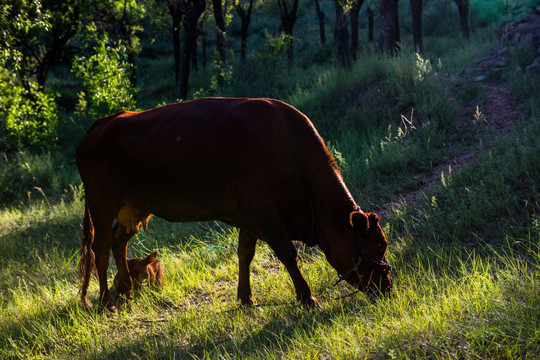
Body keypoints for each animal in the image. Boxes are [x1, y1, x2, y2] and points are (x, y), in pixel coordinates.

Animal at [76, 97, 392, 310]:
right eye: (378, 245)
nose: (387, 286)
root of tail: (104, 121)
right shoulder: (264, 214)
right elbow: (288, 254)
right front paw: (307, 298)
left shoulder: (249, 217)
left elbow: (244, 254)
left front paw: (246, 298)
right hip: (102, 204)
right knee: (100, 249)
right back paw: (106, 302)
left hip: (135, 207)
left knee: (119, 242)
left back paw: (127, 291)